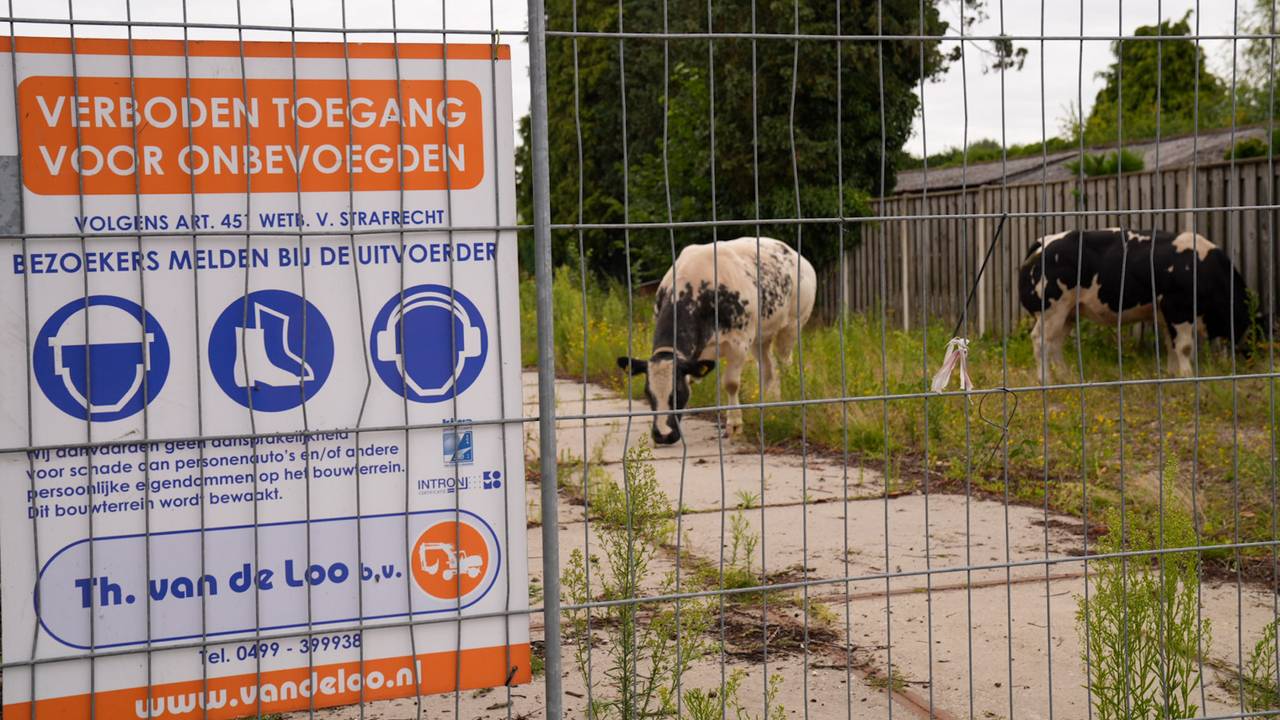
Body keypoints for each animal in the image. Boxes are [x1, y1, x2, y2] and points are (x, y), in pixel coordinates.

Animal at [617, 236, 816, 445]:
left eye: (678, 392)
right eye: (648, 393)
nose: (663, 435)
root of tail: (793, 252)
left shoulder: (739, 344)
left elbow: (731, 383)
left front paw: (734, 425)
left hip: (792, 324)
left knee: (785, 364)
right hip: (761, 336)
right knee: (767, 369)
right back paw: (764, 406)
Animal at [1018, 228, 1254, 381]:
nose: (1248, 356)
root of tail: (1045, 241)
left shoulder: (1164, 313)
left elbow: (1171, 344)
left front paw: (1172, 374)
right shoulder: (1178, 308)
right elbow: (1185, 346)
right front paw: (1188, 376)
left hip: (1067, 313)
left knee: (1055, 344)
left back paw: (1067, 376)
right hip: (1052, 311)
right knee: (1040, 340)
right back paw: (1045, 379)